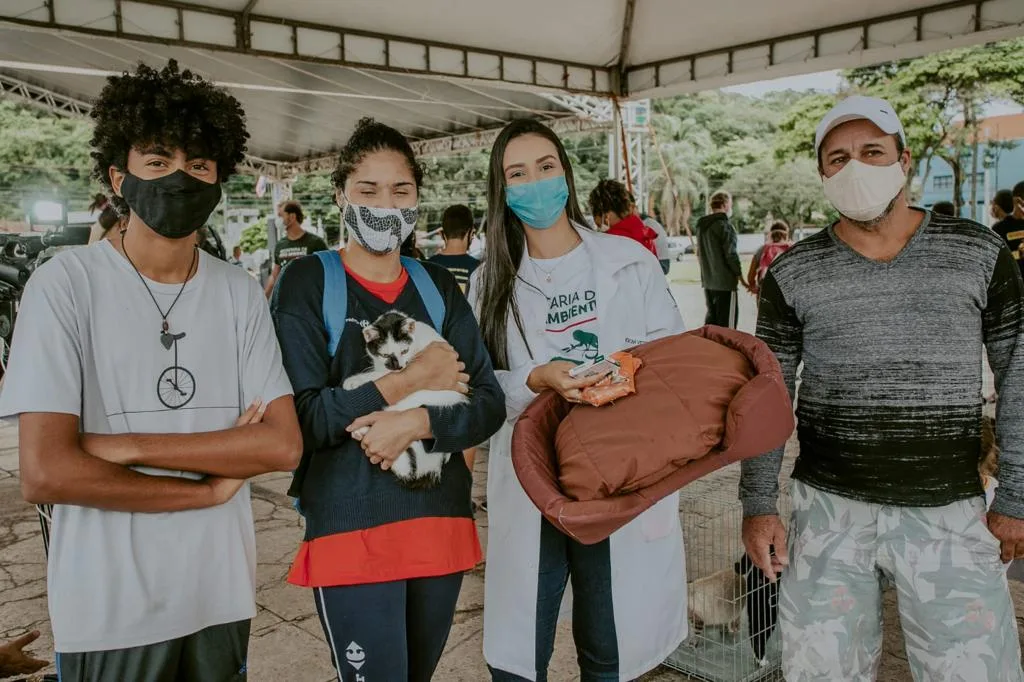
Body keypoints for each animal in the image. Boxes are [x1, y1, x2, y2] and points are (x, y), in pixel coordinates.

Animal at [346, 311, 468, 485]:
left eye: (404, 351)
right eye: (384, 354)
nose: (398, 367)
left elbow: (380, 375)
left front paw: (353, 380)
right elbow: (381, 370)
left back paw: (361, 430)